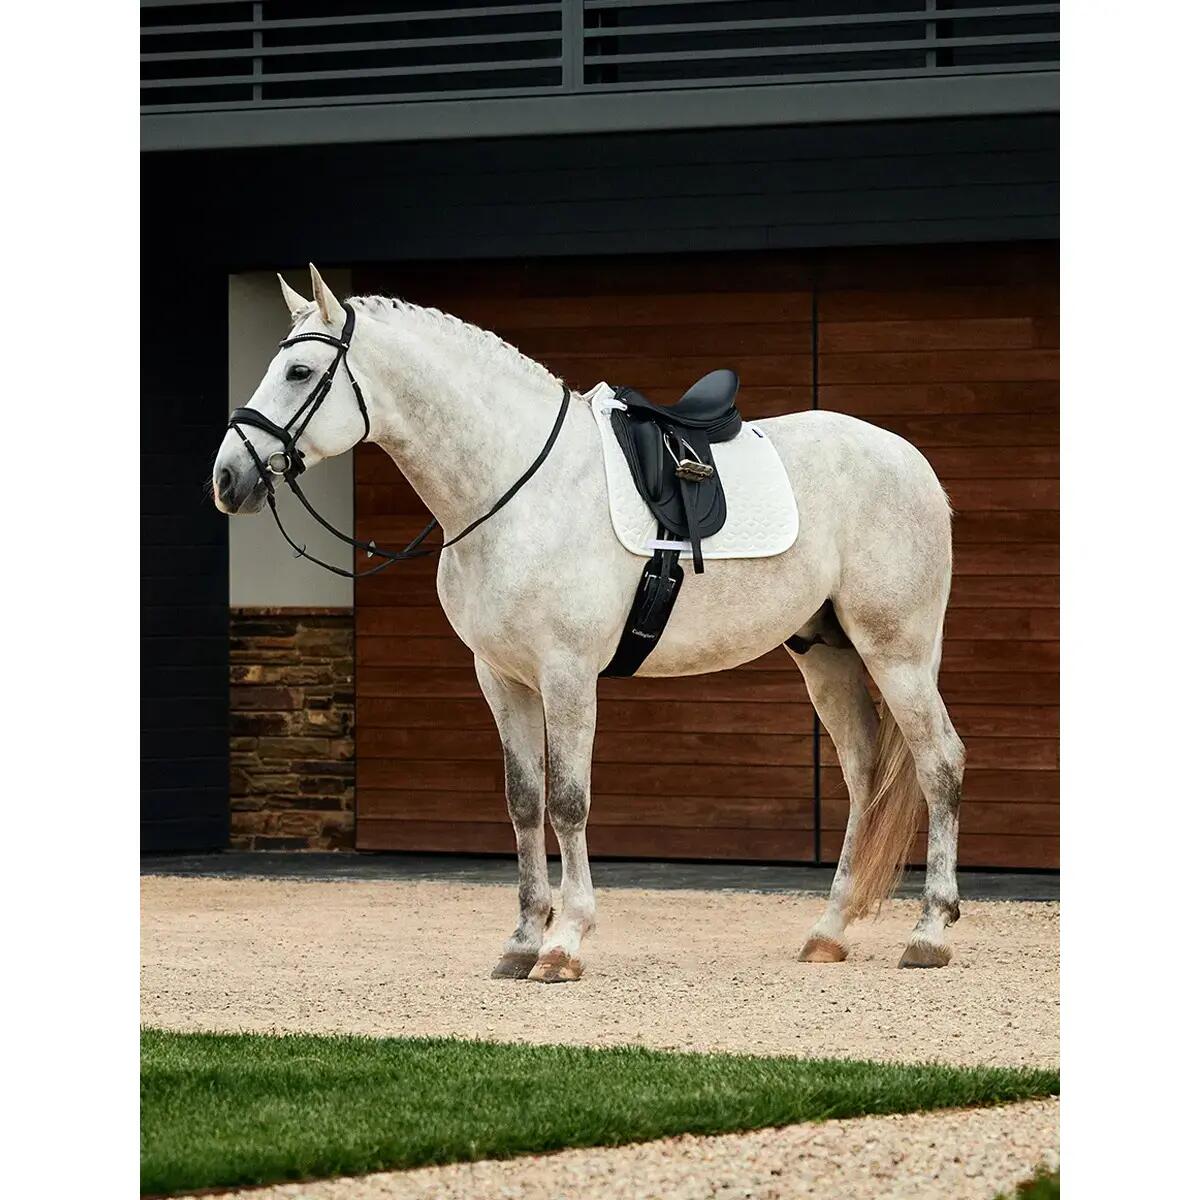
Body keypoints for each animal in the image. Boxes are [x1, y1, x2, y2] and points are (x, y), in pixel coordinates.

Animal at [212, 265, 964, 982]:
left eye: (299, 372)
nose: (226, 479)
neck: (513, 488)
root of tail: (914, 463)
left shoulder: (567, 675)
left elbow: (569, 801)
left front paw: (564, 943)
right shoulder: (502, 680)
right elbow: (524, 803)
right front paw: (521, 942)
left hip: (897, 653)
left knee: (940, 764)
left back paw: (929, 932)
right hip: (826, 655)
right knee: (863, 775)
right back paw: (828, 933)